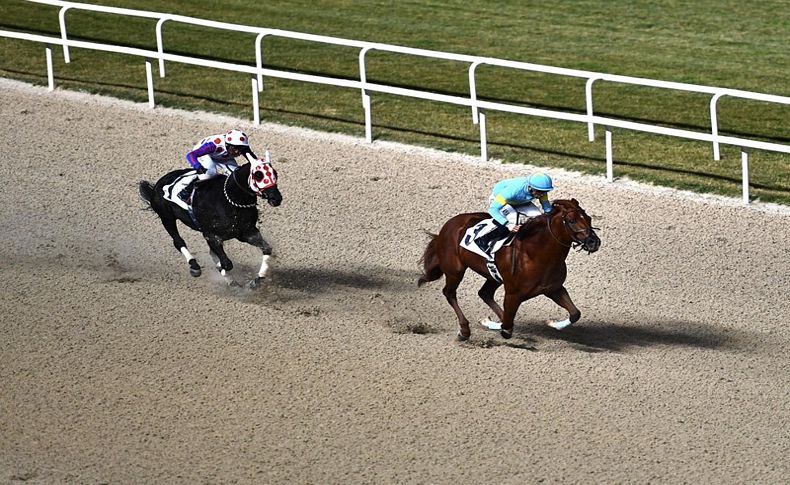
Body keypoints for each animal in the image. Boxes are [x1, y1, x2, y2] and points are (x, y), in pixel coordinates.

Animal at [141, 159, 284, 288]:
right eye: (258, 175)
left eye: (275, 173)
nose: (276, 198)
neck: (231, 202)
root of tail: (157, 185)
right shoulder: (212, 236)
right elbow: (226, 263)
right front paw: (222, 268)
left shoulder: (247, 233)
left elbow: (267, 249)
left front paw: (256, 280)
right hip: (167, 217)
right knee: (178, 242)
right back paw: (195, 267)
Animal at [420, 199, 600, 338]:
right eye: (572, 221)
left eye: (589, 218)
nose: (594, 242)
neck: (537, 254)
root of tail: (450, 224)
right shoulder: (513, 294)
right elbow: (506, 327)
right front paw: (489, 322)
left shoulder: (553, 289)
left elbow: (575, 313)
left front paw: (552, 323)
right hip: (455, 271)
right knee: (450, 293)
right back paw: (464, 330)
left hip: (493, 276)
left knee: (484, 293)